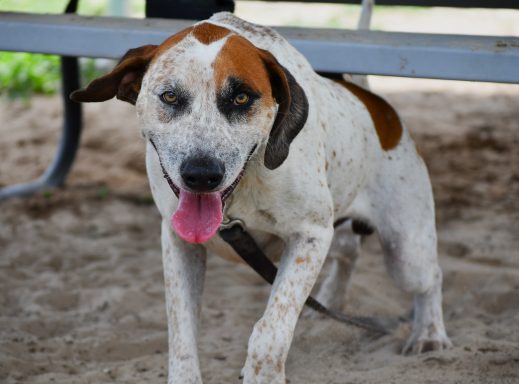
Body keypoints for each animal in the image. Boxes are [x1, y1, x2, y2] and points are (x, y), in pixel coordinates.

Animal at [71, 9, 452, 384]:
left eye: (241, 98)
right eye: (169, 96)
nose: (201, 174)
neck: (242, 191)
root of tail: (380, 110)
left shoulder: (311, 236)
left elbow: (270, 331)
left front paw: (263, 373)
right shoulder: (179, 241)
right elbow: (181, 334)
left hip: (406, 253)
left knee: (430, 277)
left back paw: (429, 333)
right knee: (349, 252)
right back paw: (329, 302)